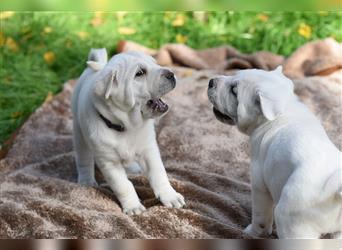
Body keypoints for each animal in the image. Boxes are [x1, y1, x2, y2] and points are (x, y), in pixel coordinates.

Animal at [71, 48, 186, 215]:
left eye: (155, 62)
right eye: (140, 73)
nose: (171, 73)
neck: (127, 126)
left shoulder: (149, 150)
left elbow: (159, 174)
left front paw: (170, 196)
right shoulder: (109, 162)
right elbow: (123, 186)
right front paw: (133, 207)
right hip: (79, 134)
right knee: (83, 159)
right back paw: (86, 181)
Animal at [207, 66, 340, 238]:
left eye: (234, 91)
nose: (211, 82)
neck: (285, 110)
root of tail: (335, 188)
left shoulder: (259, 183)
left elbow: (261, 215)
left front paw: (252, 232)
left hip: (291, 220)